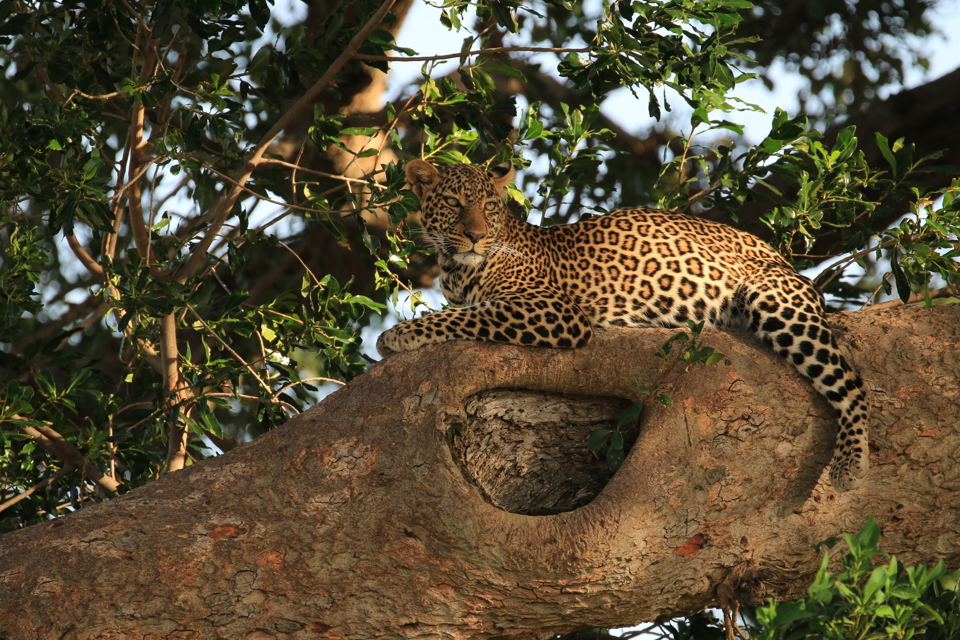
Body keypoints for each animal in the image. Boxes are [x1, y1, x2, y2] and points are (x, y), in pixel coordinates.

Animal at [377, 159, 869, 491]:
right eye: (454, 203)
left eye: (488, 205)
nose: (476, 236)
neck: (456, 268)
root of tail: (783, 259)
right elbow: (465, 310)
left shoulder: (552, 309)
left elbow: (469, 314)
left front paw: (398, 335)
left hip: (775, 301)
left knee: (851, 383)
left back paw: (850, 465)